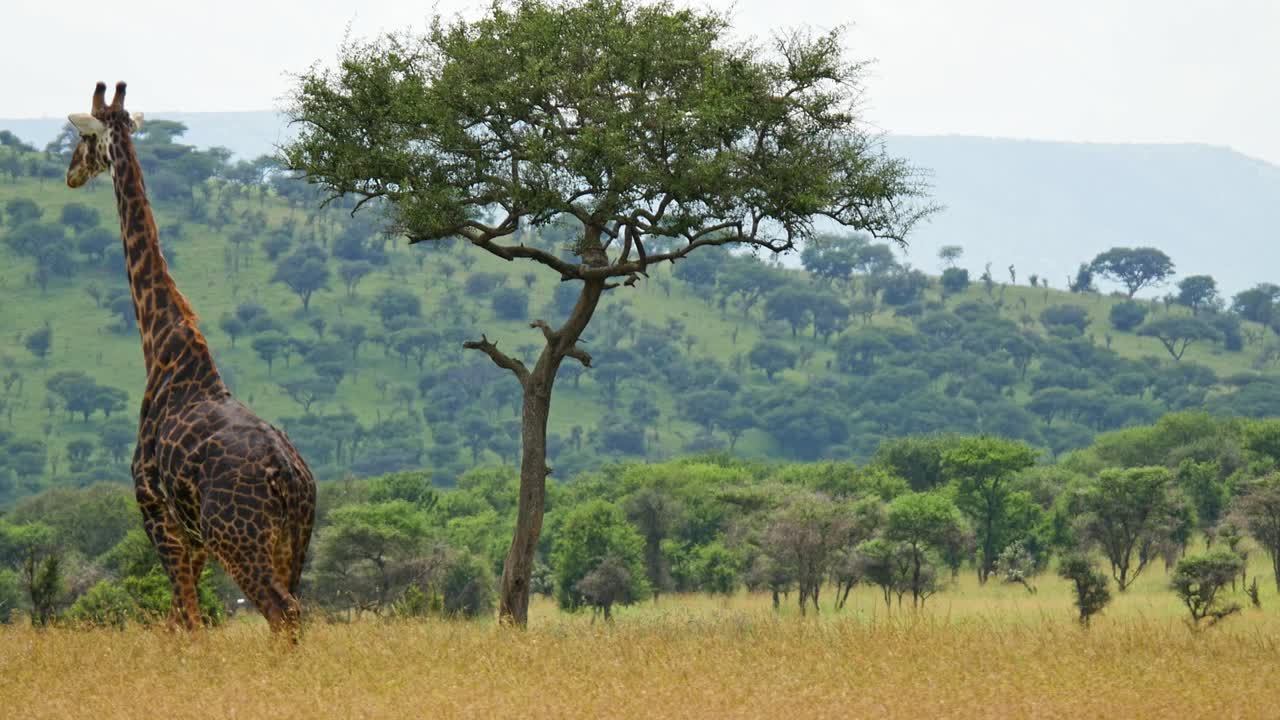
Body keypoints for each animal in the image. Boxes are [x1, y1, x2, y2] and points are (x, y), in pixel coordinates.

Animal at [66, 82, 316, 635]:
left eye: (83, 137)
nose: (70, 172)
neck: (164, 349)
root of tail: (289, 478)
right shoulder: (191, 534)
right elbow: (184, 617)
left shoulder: (155, 510)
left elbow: (186, 619)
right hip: (293, 542)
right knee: (297, 612)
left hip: (237, 538)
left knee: (281, 611)